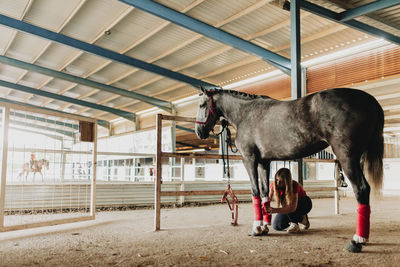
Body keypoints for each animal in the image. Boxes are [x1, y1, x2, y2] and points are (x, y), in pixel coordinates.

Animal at [196, 87, 384, 254]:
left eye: (201, 104)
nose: (199, 132)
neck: (246, 114)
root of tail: (371, 100)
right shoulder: (264, 162)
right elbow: (265, 193)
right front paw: (265, 227)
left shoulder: (250, 159)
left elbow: (255, 191)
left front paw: (256, 228)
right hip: (358, 158)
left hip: (347, 157)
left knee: (361, 189)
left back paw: (357, 241)